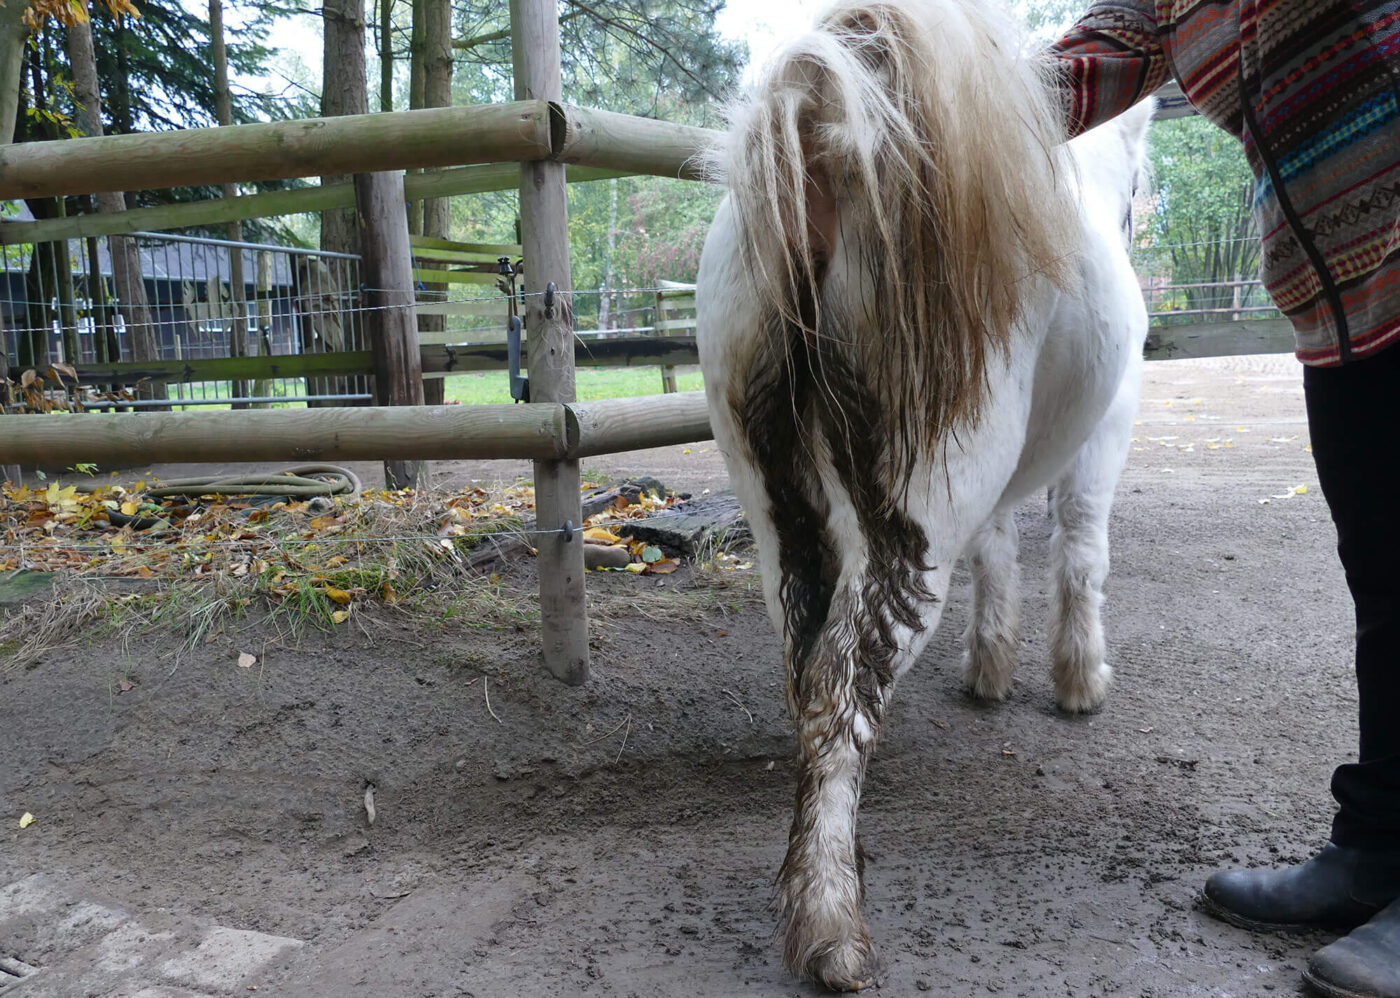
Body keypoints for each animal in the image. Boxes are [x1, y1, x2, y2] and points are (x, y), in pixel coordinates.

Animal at [694, 0, 1153, 985]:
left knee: (809, 665)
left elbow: (1002, 553)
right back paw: (832, 926)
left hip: (775, 498)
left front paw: (991, 669)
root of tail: (828, 131)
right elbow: (1083, 547)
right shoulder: (1107, 429)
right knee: (843, 681)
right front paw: (1079, 681)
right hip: (917, 500)